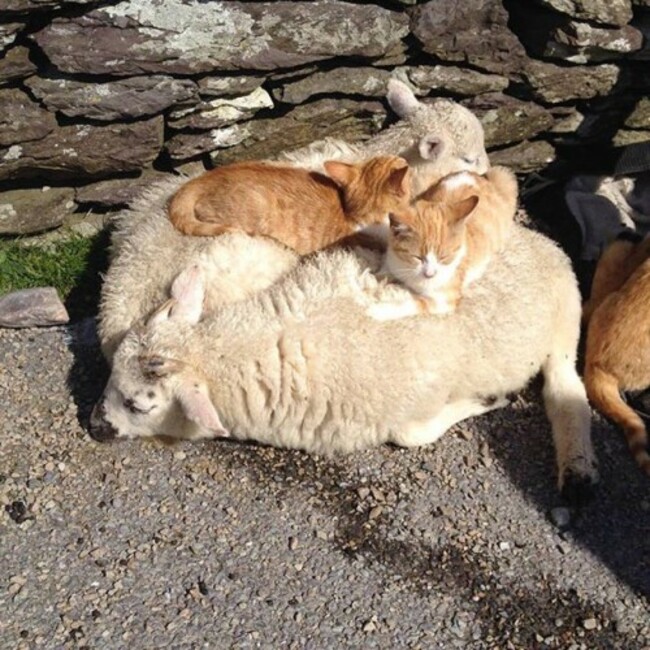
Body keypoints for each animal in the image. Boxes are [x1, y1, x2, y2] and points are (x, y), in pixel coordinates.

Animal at [91, 223, 596, 502]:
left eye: (138, 404)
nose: (95, 425)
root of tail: (539, 238)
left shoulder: (409, 405)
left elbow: (412, 436)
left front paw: (489, 400)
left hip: (566, 315)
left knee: (565, 388)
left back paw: (578, 475)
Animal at [370, 166, 516, 320]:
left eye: (444, 258)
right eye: (418, 257)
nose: (430, 274)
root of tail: (477, 174)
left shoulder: (444, 300)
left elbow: (414, 303)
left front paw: (379, 309)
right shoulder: (392, 260)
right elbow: (380, 273)